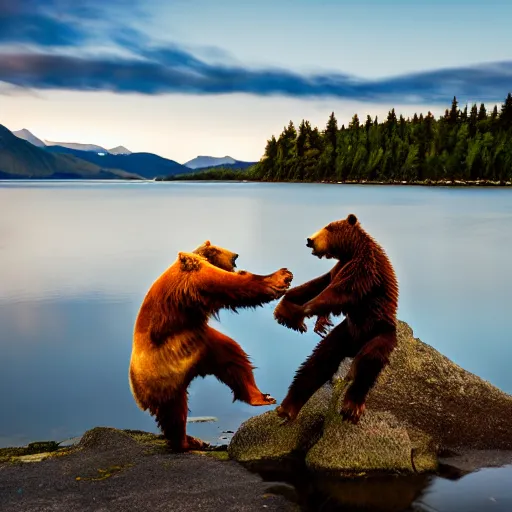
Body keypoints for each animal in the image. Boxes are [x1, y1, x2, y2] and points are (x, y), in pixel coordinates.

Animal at [130, 241, 294, 452]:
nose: (236, 255)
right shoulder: (198, 280)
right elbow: (235, 284)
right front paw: (281, 276)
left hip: (203, 346)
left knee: (234, 358)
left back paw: (258, 397)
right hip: (161, 376)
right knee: (174, 411)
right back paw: (186, 442)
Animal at [274, 212, 398, 424]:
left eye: (328, 228)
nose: (309, 240)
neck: (351, 251)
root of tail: (357, 344)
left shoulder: (365, 267)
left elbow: (341, 293)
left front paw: (299, 312)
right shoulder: (339, 267)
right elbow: (320, 283)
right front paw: (288, 309)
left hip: (380, 332)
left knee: (369, 361)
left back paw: (352, 406)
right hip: (345, 334)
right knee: (320, 360)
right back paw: (287, 408)